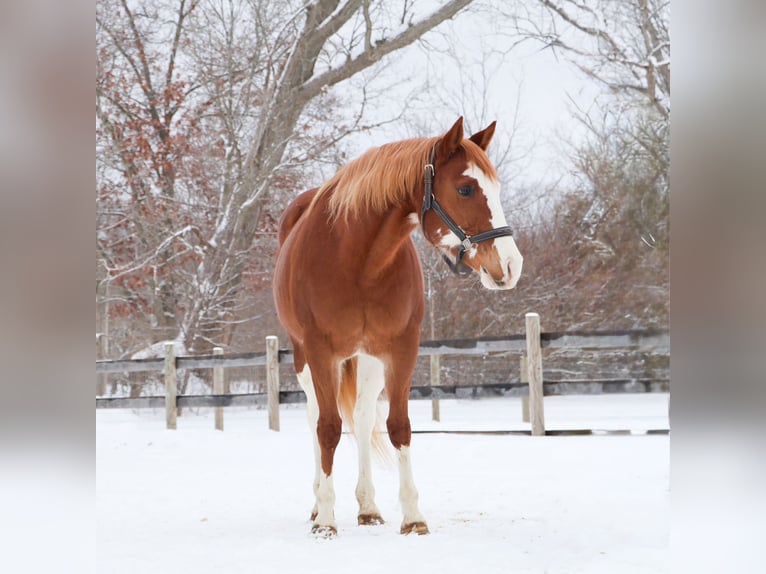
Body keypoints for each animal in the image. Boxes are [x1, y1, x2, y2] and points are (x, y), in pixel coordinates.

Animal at [273, 117, 523, 537]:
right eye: (466, 188)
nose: (510, 265)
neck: (358, 260)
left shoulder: (401, 349)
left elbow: (399, 427)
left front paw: (413, 517)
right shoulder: (321, 351)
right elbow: (328, 428)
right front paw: (326, 520)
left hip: (368, 359)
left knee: (361, 419)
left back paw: (368, 507)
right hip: (305, 357)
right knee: (315, 418)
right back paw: (318, 504)